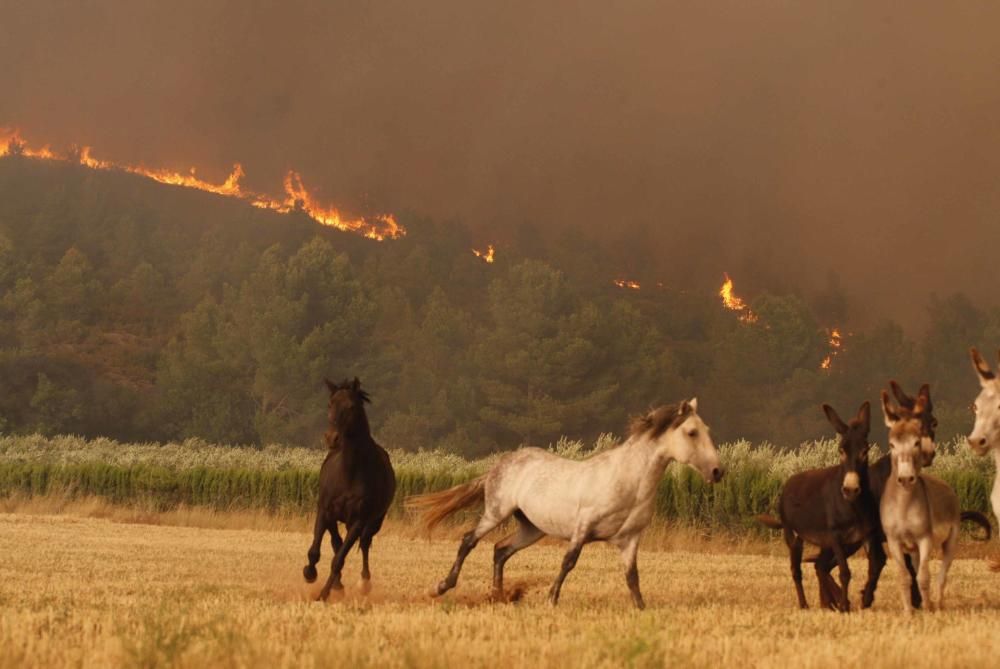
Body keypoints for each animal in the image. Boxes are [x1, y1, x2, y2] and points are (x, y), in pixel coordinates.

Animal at [302, 376, 396, 600]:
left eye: (351, 406)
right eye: (330, 404)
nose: (332, 438)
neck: (349, 472)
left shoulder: (359, 520)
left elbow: (339, 559)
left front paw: (323, 594)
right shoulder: (325, 511)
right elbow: (316, 550)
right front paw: (310, 574)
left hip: (374, 521)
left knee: (364, 544)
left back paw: (363, 583)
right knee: (336, 542)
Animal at [402, 400, 724, 608]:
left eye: (707, 429)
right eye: (692, 432)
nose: (718, 472)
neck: (629, 483)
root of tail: (500, 464)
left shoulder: (630, 539)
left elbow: (632, 577)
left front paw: (641, 609)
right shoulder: (583, 527)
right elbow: (569, 562)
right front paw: (551, 599)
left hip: (532, 528)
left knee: (500, 549)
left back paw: (498, 596)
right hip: (496, 512)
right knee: (469, 540)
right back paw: (442, 587)